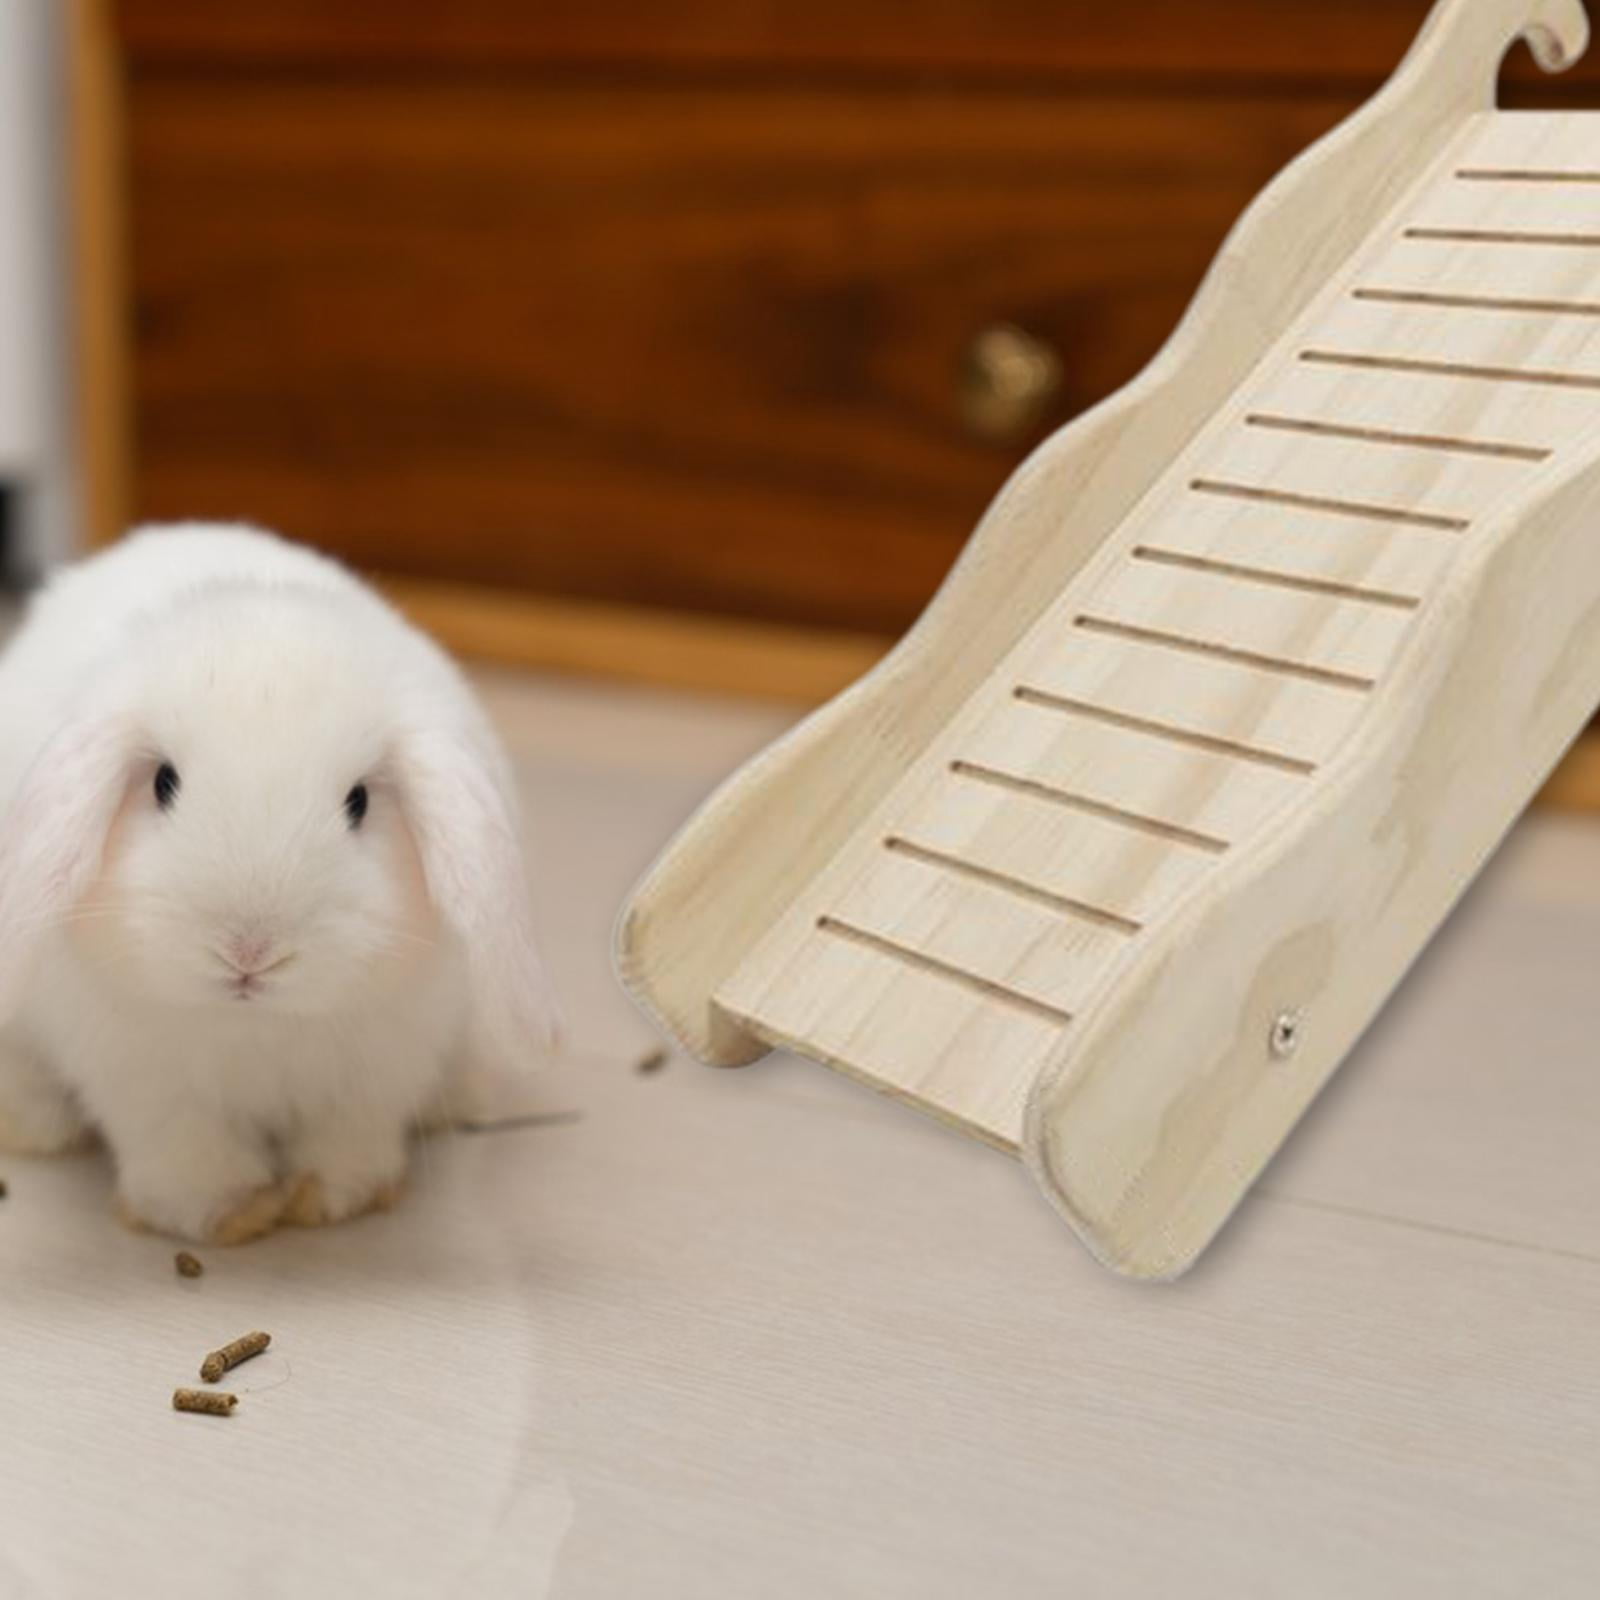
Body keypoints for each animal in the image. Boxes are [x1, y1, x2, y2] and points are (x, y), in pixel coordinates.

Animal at [0, 523, 556, 1243]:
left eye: (358, 802)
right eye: (163, 783)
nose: (249, 952)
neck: (257, 1023)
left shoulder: (377, 1074)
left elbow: (346, 1138)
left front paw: (330, 1198)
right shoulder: (149, 1086)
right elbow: (185, 1152)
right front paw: (228, 1213)